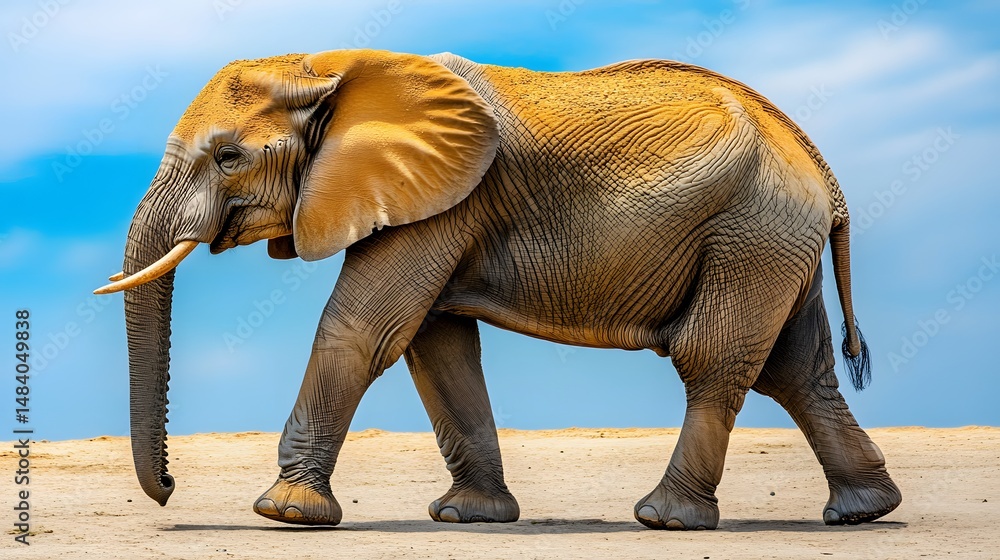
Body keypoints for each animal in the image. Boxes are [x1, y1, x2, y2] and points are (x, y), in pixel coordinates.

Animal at [95, 48, 901, 530]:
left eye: (228, 157)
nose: (170, 490)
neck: (329, 64)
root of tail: (818, 166)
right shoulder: (431, 202)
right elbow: (436, 348)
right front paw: (468, 517)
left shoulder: (445, 201)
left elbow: (364, 329)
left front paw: (284, 513)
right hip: (774, 238)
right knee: (796, 372)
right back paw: (863, 512)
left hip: (751, 232)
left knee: (714, 361)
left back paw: (664, 519)